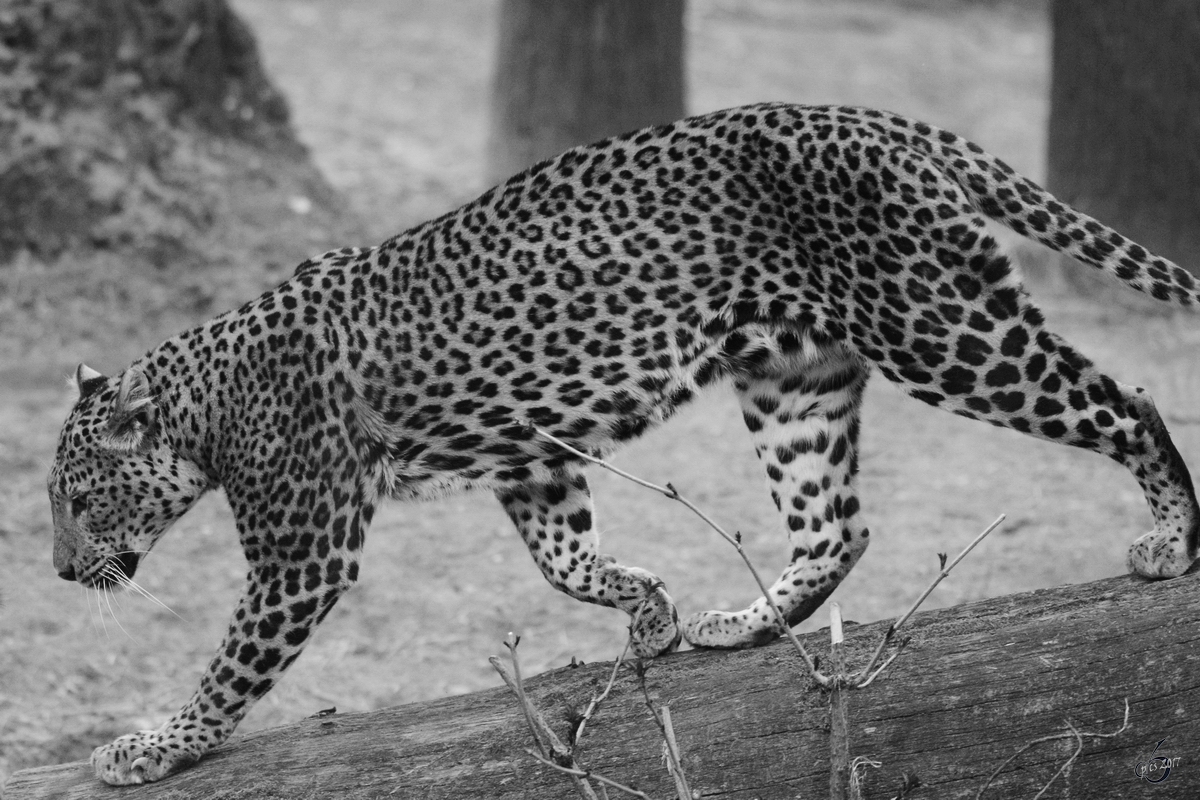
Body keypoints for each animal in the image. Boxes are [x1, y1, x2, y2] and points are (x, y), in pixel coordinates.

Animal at [46, 103, 1200, 786]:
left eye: (83, 503)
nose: (58, 572)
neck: (202, 404)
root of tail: (885, 120)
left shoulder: (303, 549)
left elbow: (232, 665)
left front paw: (156, 745)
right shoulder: (534, 455)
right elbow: (563, 561)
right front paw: (652, 613)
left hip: (942, 328)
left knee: (1129, 402)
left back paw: (1170, 543)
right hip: (796, 379)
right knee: (837, 524)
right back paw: (741, 623)